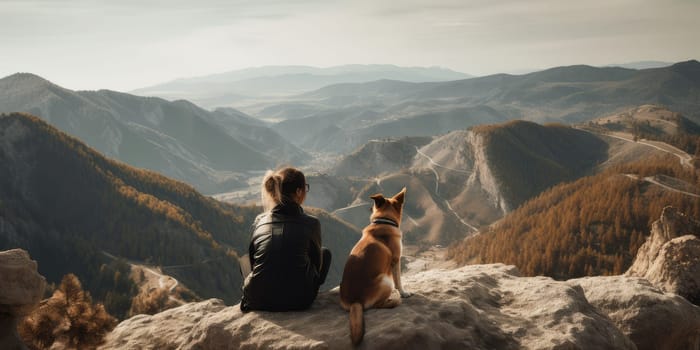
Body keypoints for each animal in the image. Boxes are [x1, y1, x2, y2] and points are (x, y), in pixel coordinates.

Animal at [340, 187, 410, 346]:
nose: (368, 208)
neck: (384, 222)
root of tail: (355, 301)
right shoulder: (396, 260)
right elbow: (399, 281)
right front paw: (403, 292)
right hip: (385, 281)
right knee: (377, 305)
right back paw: (393, 300)